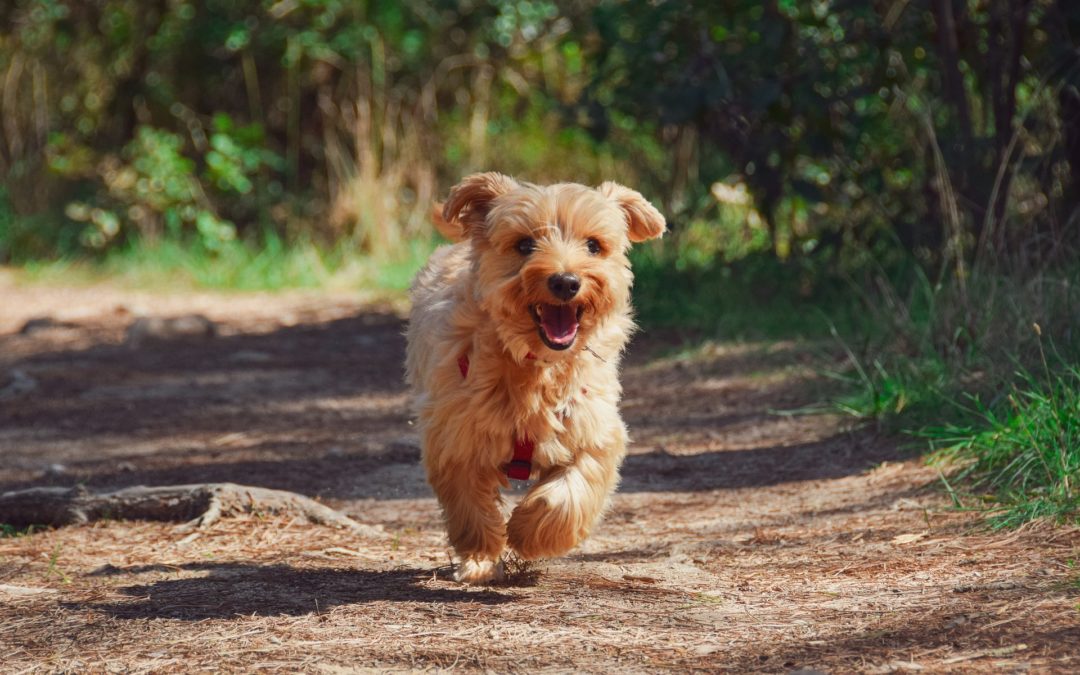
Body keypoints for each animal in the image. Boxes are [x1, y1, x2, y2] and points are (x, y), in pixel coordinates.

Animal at [406, 170, 660, 583]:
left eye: (594, 245)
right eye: (524, 244)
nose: (566, 281)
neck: (537, 366)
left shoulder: (594, 430)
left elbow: (570, 492)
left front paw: (529, 532)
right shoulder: (456, 436)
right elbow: (470, 505)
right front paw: (480, 557)